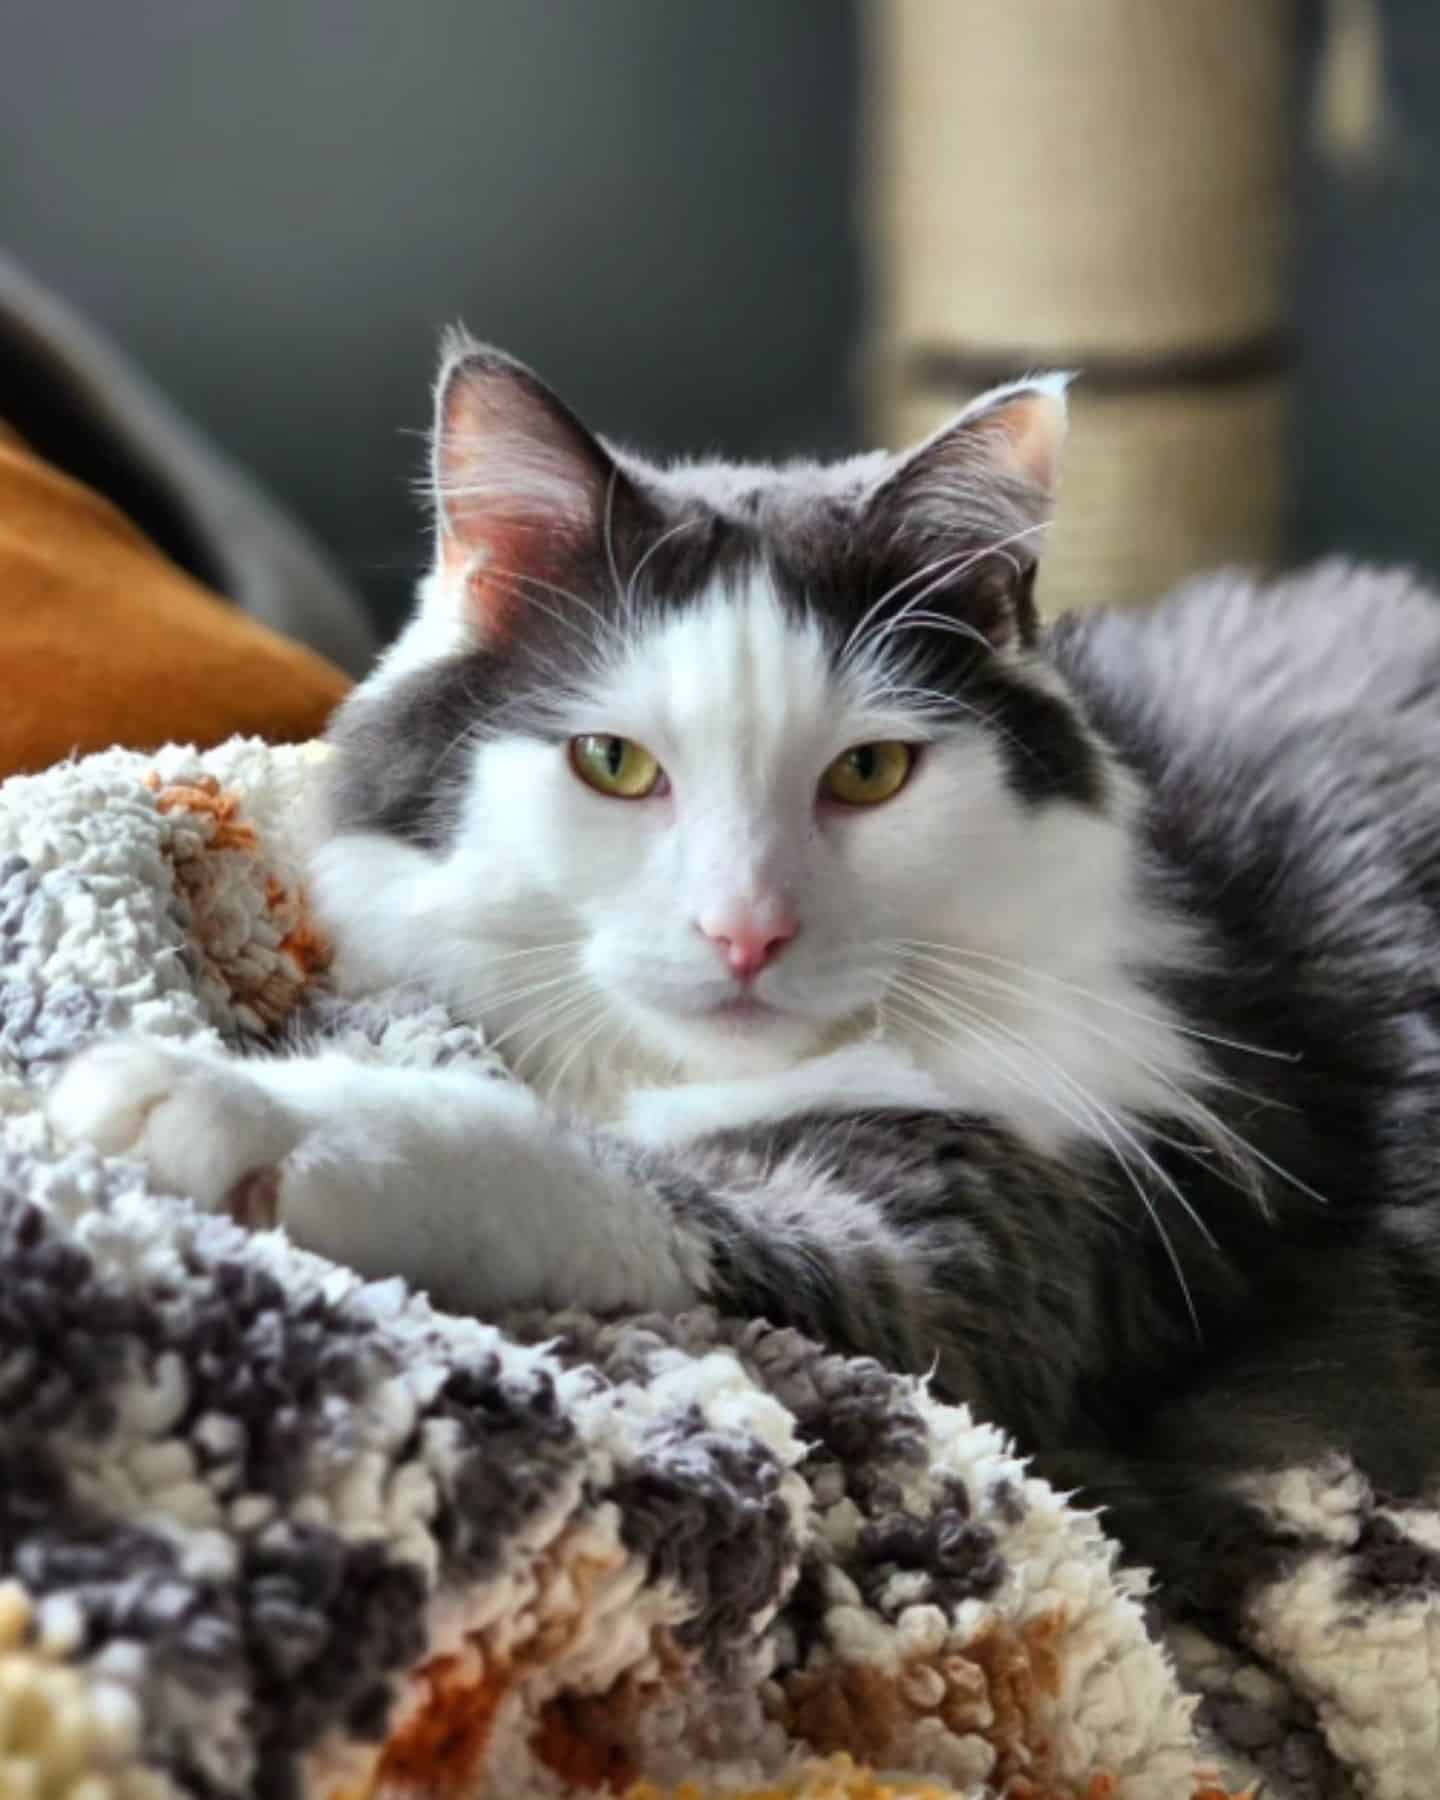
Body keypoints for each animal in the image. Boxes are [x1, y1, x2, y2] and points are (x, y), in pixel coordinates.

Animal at [47, 331, 1440, 1612]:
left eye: (870, 773)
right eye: (613, 764)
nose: (746, 932)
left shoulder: (980, 1254)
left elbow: (583, 1164)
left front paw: (229, 1104)